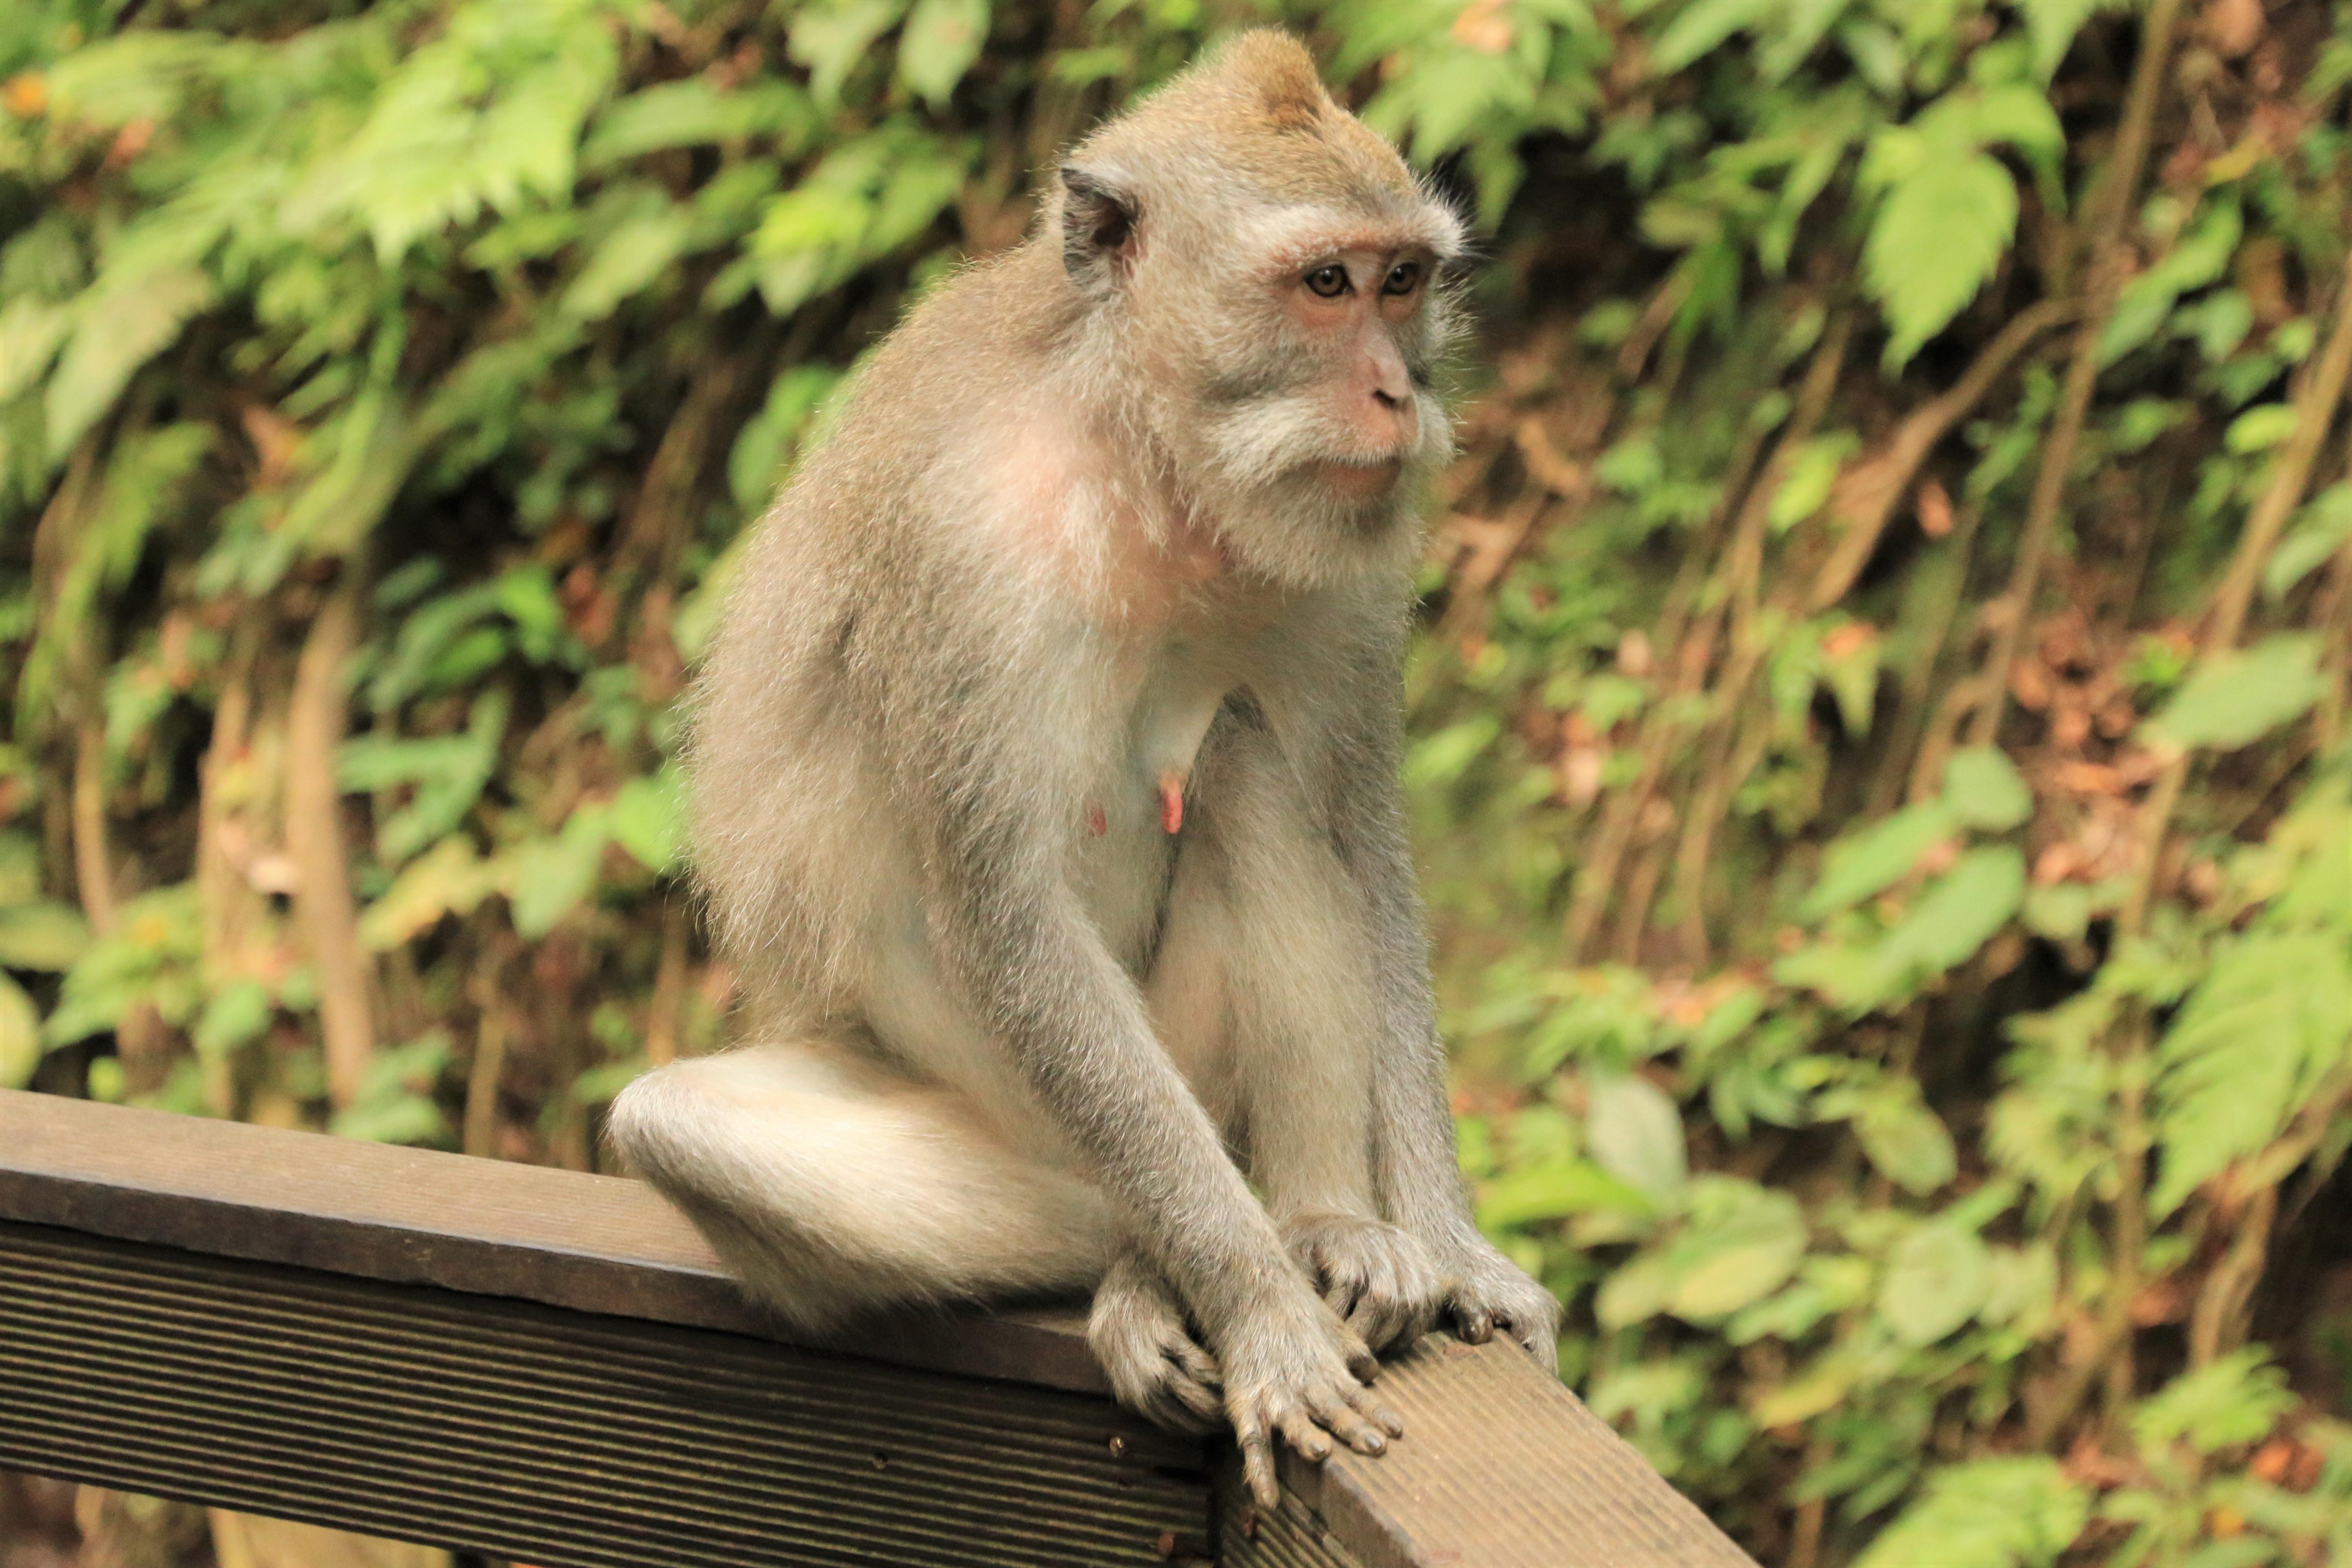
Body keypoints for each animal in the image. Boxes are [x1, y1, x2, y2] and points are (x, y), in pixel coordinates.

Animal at [605, 31, 1561, 1508]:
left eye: (1403, 281)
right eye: (1325, 283)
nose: (1401, 394)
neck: (1157, 467)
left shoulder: (1349, 556)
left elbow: (1364, 842)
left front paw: (1451, 1246)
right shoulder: (960, 550)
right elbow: (1006, 918)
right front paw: (1260, 1313)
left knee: (1249, 767)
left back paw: (1325, 1223)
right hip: (1029, 1125)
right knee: (680, 1124)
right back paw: (1148, 1266)